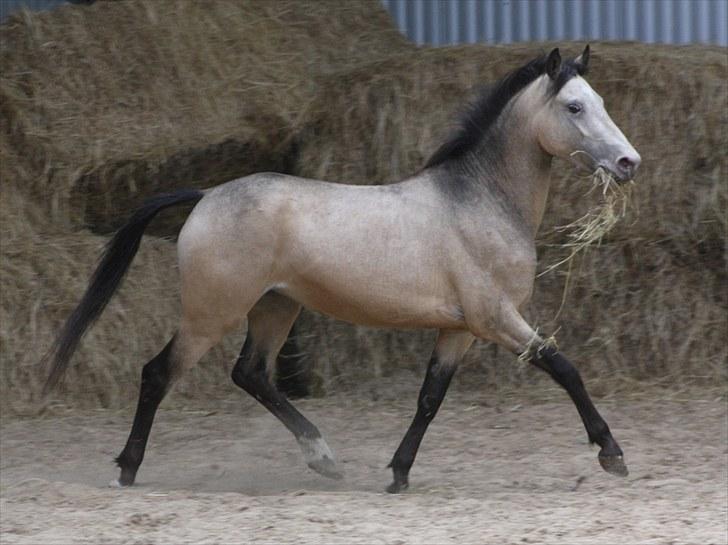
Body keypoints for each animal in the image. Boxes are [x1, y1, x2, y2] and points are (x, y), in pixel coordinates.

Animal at [42, 44, 640, 490]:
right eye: (574, 108)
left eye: (601, 100)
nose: (628, 162)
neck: (479, 202)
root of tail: (207, 194)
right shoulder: (494, 318)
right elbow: (563, 366)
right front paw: (611, 453)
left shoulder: (459, 329)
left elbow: (430, 399)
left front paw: (398, 474)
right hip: (211, 315)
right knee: (158, 373)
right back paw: (127, 469)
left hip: (275, 308)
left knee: (252, 374)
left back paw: (323, 458)